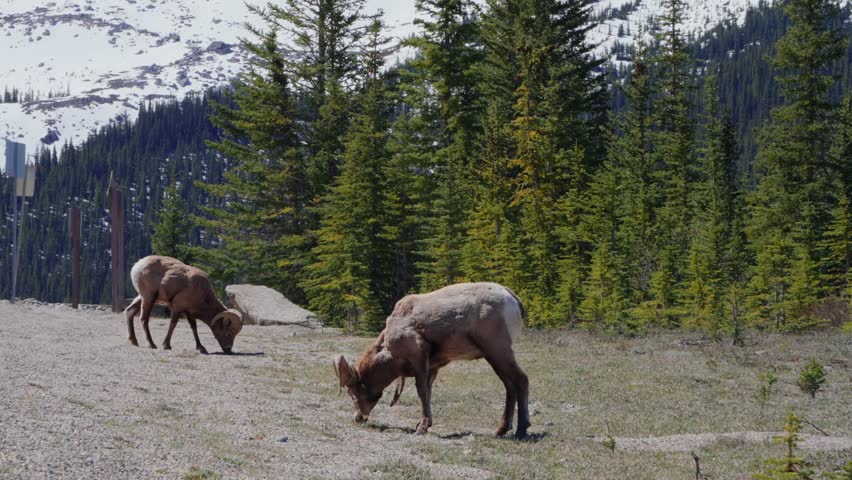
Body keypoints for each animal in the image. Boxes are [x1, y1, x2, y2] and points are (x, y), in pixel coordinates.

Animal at [333, 282, 530, 439]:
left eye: (352, 393)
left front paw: (420, 428)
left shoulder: (418, 358)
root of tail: (513, 299)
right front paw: (425, 425)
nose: (358, 418)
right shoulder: (433, 367)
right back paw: (501, 430)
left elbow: (422, 392)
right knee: (509, 386)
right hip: (494, 357)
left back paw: (521, 430)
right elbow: (428, 393)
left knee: (521, 380)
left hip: (498, 351)